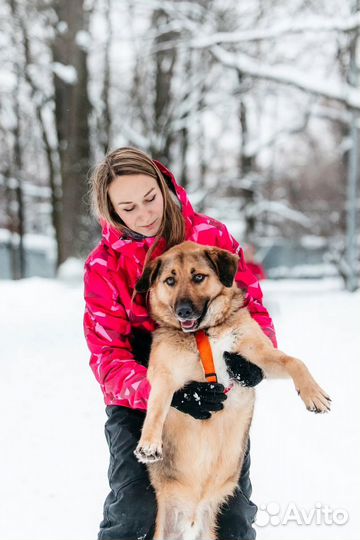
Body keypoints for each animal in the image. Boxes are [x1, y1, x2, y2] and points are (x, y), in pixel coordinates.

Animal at [133, 242, 332, 540]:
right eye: (170, 281)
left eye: (198, 277)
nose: (183, 312)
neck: (204, 333)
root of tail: (192, 515)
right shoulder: (164, 375)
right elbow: (158, 404)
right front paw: (149, 444)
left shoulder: (256, 354)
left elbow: (294, 361)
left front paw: (314, 394)